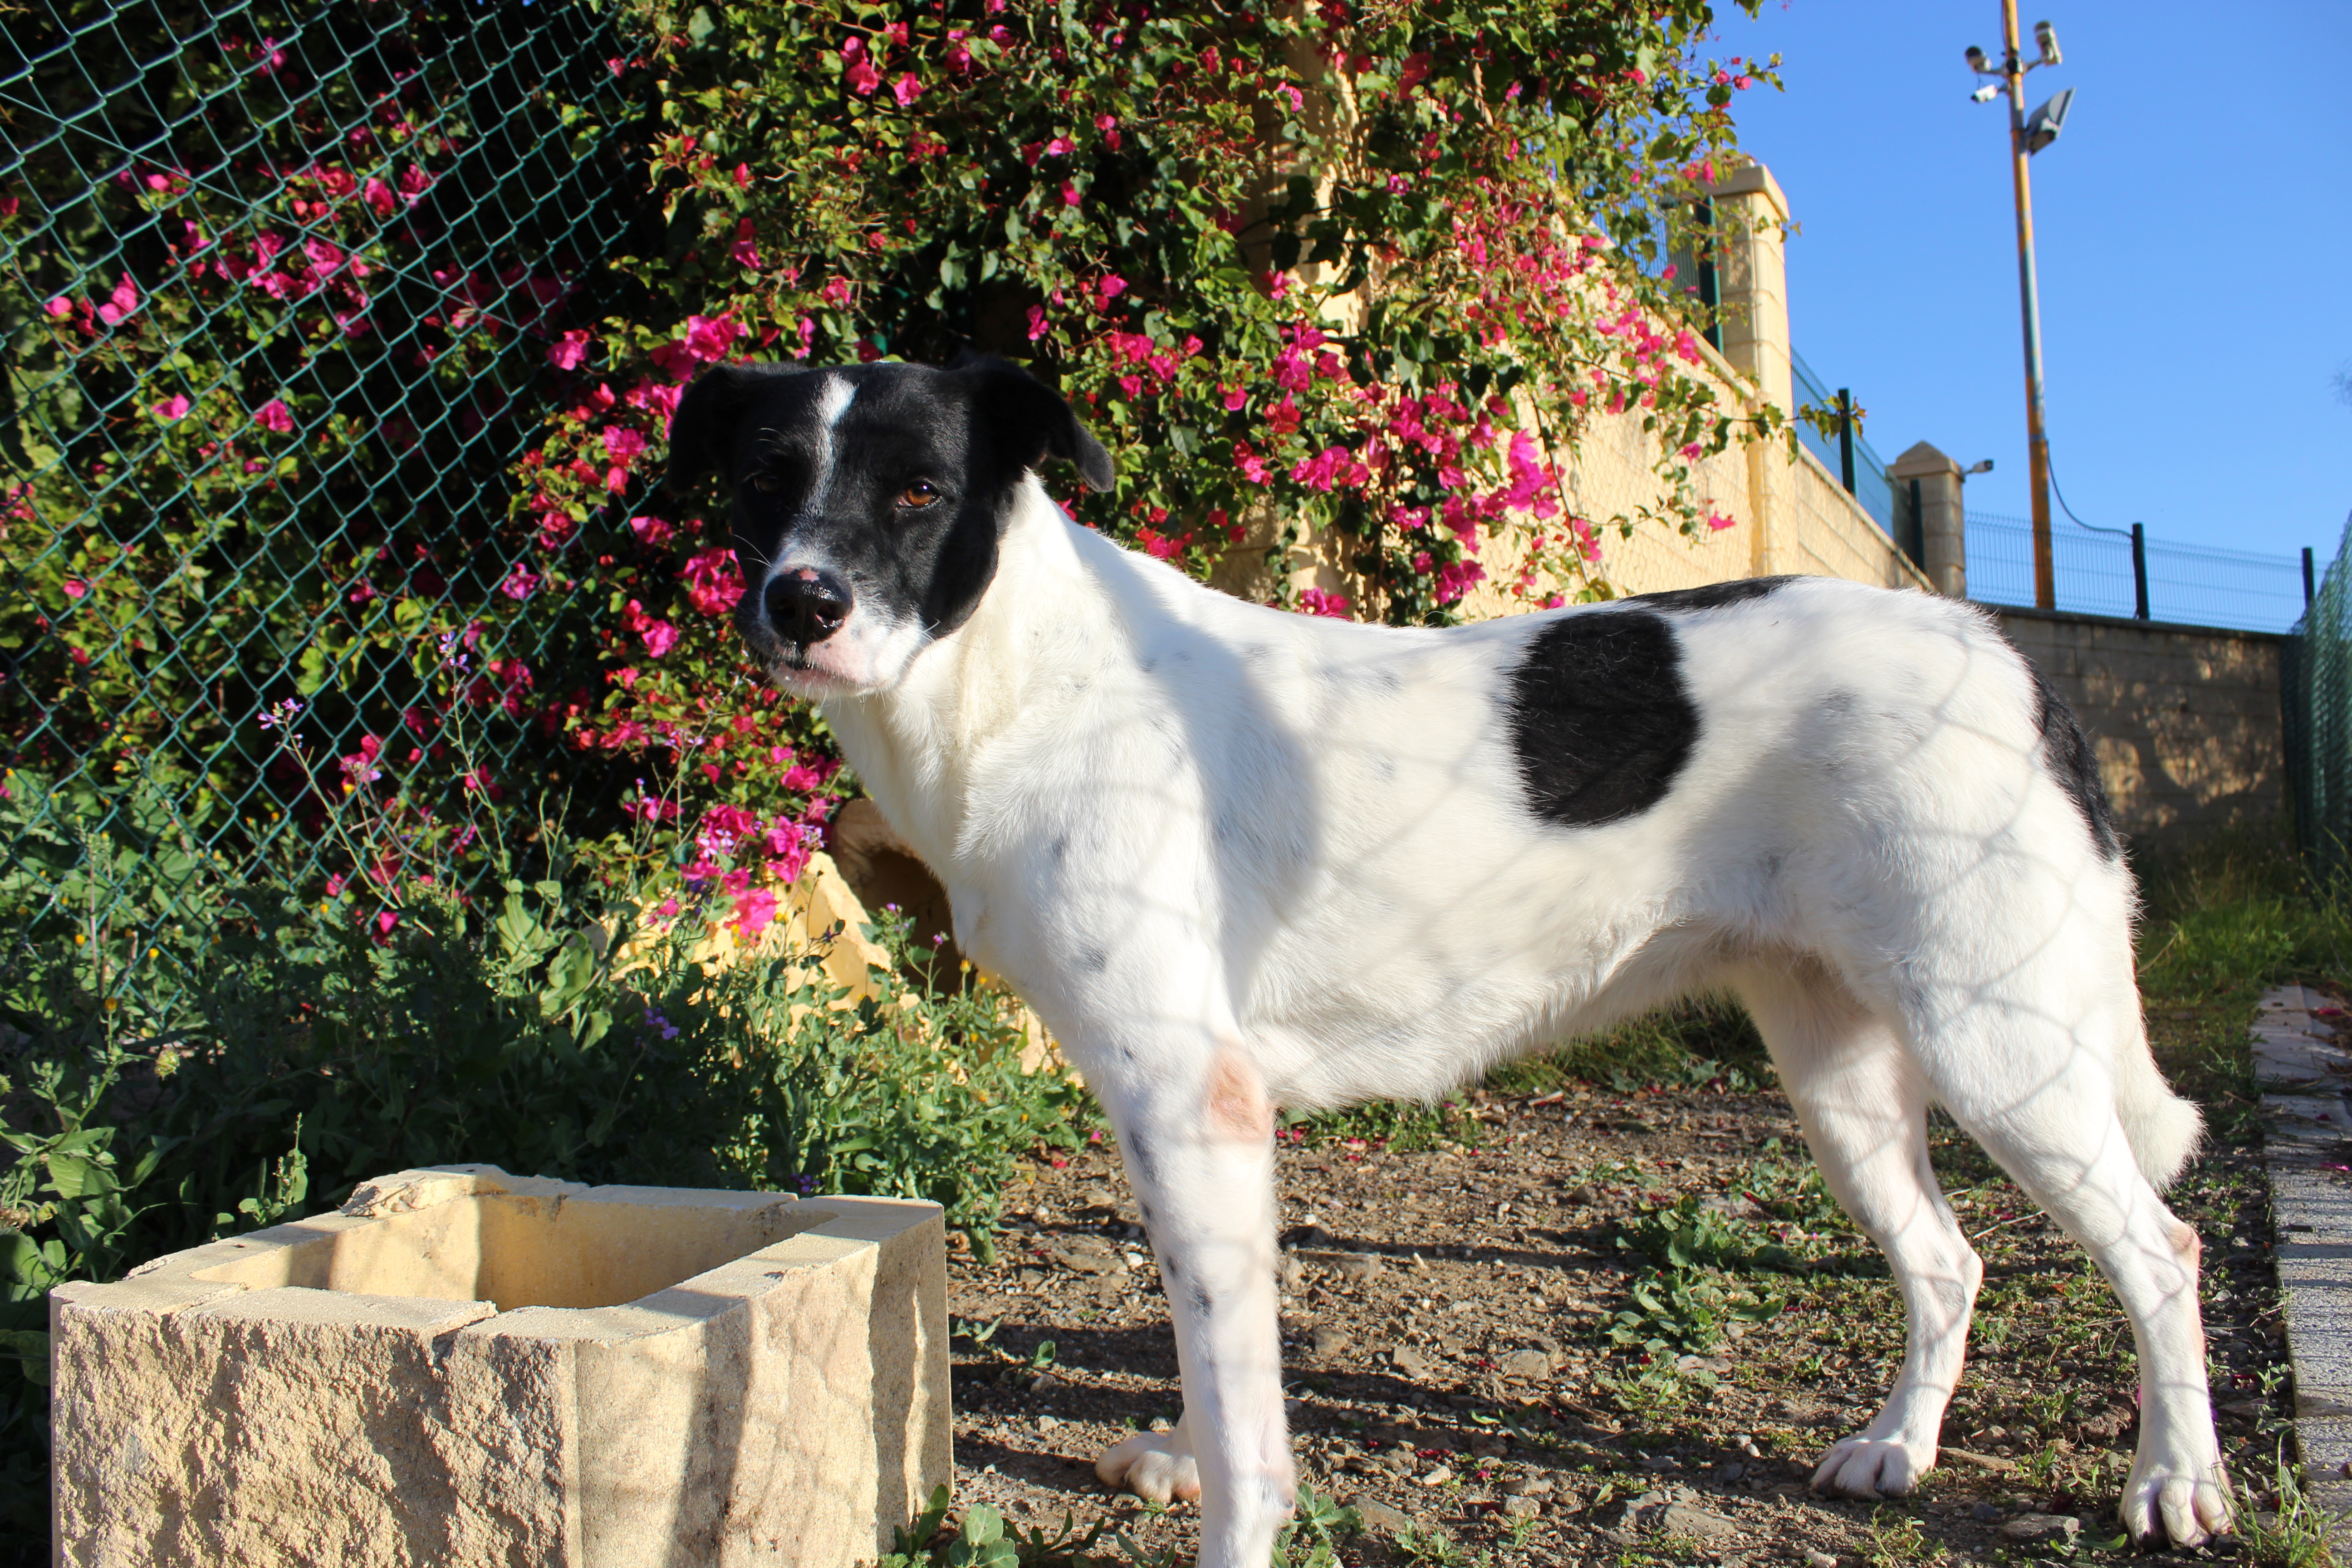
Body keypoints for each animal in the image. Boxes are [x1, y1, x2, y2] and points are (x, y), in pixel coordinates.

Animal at [672, 359, 2230, 1568]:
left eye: (920, 491)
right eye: (763, 478)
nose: (801, 602)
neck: (1023, 677)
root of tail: (2000, 649)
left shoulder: (1195, 1102)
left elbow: (1244, 1410)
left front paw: (1229, 1506)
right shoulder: (1173, 1119)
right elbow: (1216, 1338)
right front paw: (1185, 1447)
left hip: (1998, 1045)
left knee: (2162, 1249)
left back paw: (2175, 1481)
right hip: (1840, 1072)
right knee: (1950, 1262)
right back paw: (1900, 1447)